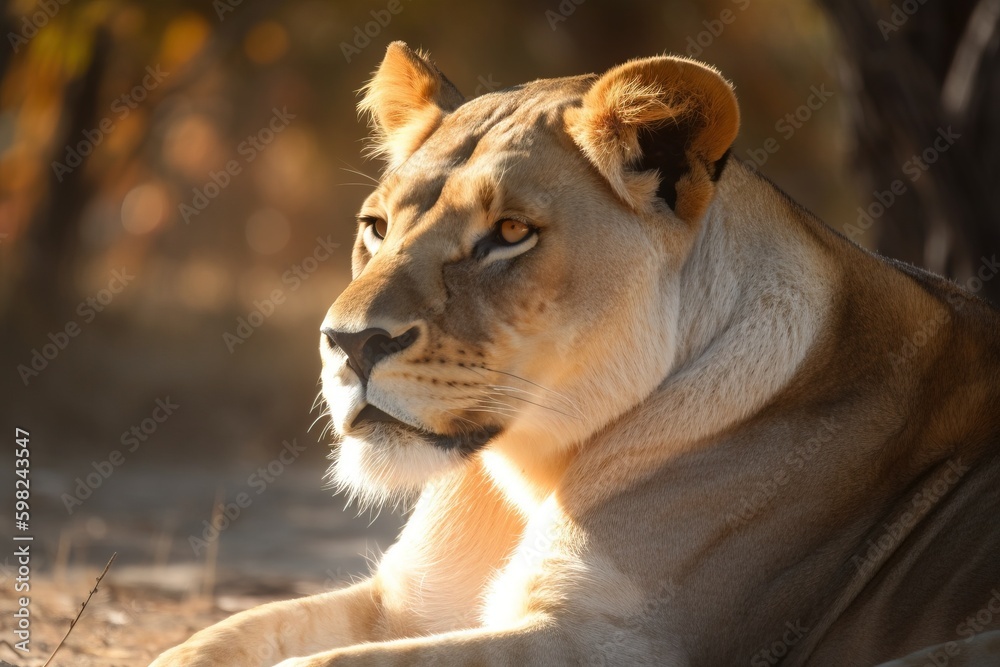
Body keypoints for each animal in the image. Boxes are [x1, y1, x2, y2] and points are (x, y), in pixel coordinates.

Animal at [151, 42, 1000, 666]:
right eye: (376, 227)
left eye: (510, 234)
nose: (349, 343)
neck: (523, 472)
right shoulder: (403, 601)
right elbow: (213, 639)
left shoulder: (624, 642)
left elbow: (323, 663)